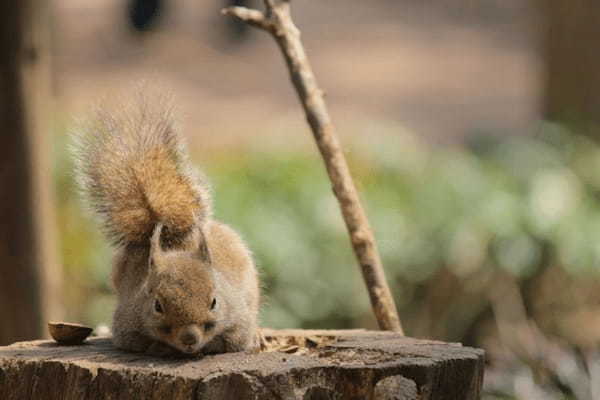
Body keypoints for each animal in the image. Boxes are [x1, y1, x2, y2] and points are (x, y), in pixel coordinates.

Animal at [72, 97, 260, 356]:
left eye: (214, 302)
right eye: (157, 306)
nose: (189, 338)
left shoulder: (239, 321)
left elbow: (232, 341)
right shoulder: (127, 324)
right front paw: (161, 347)